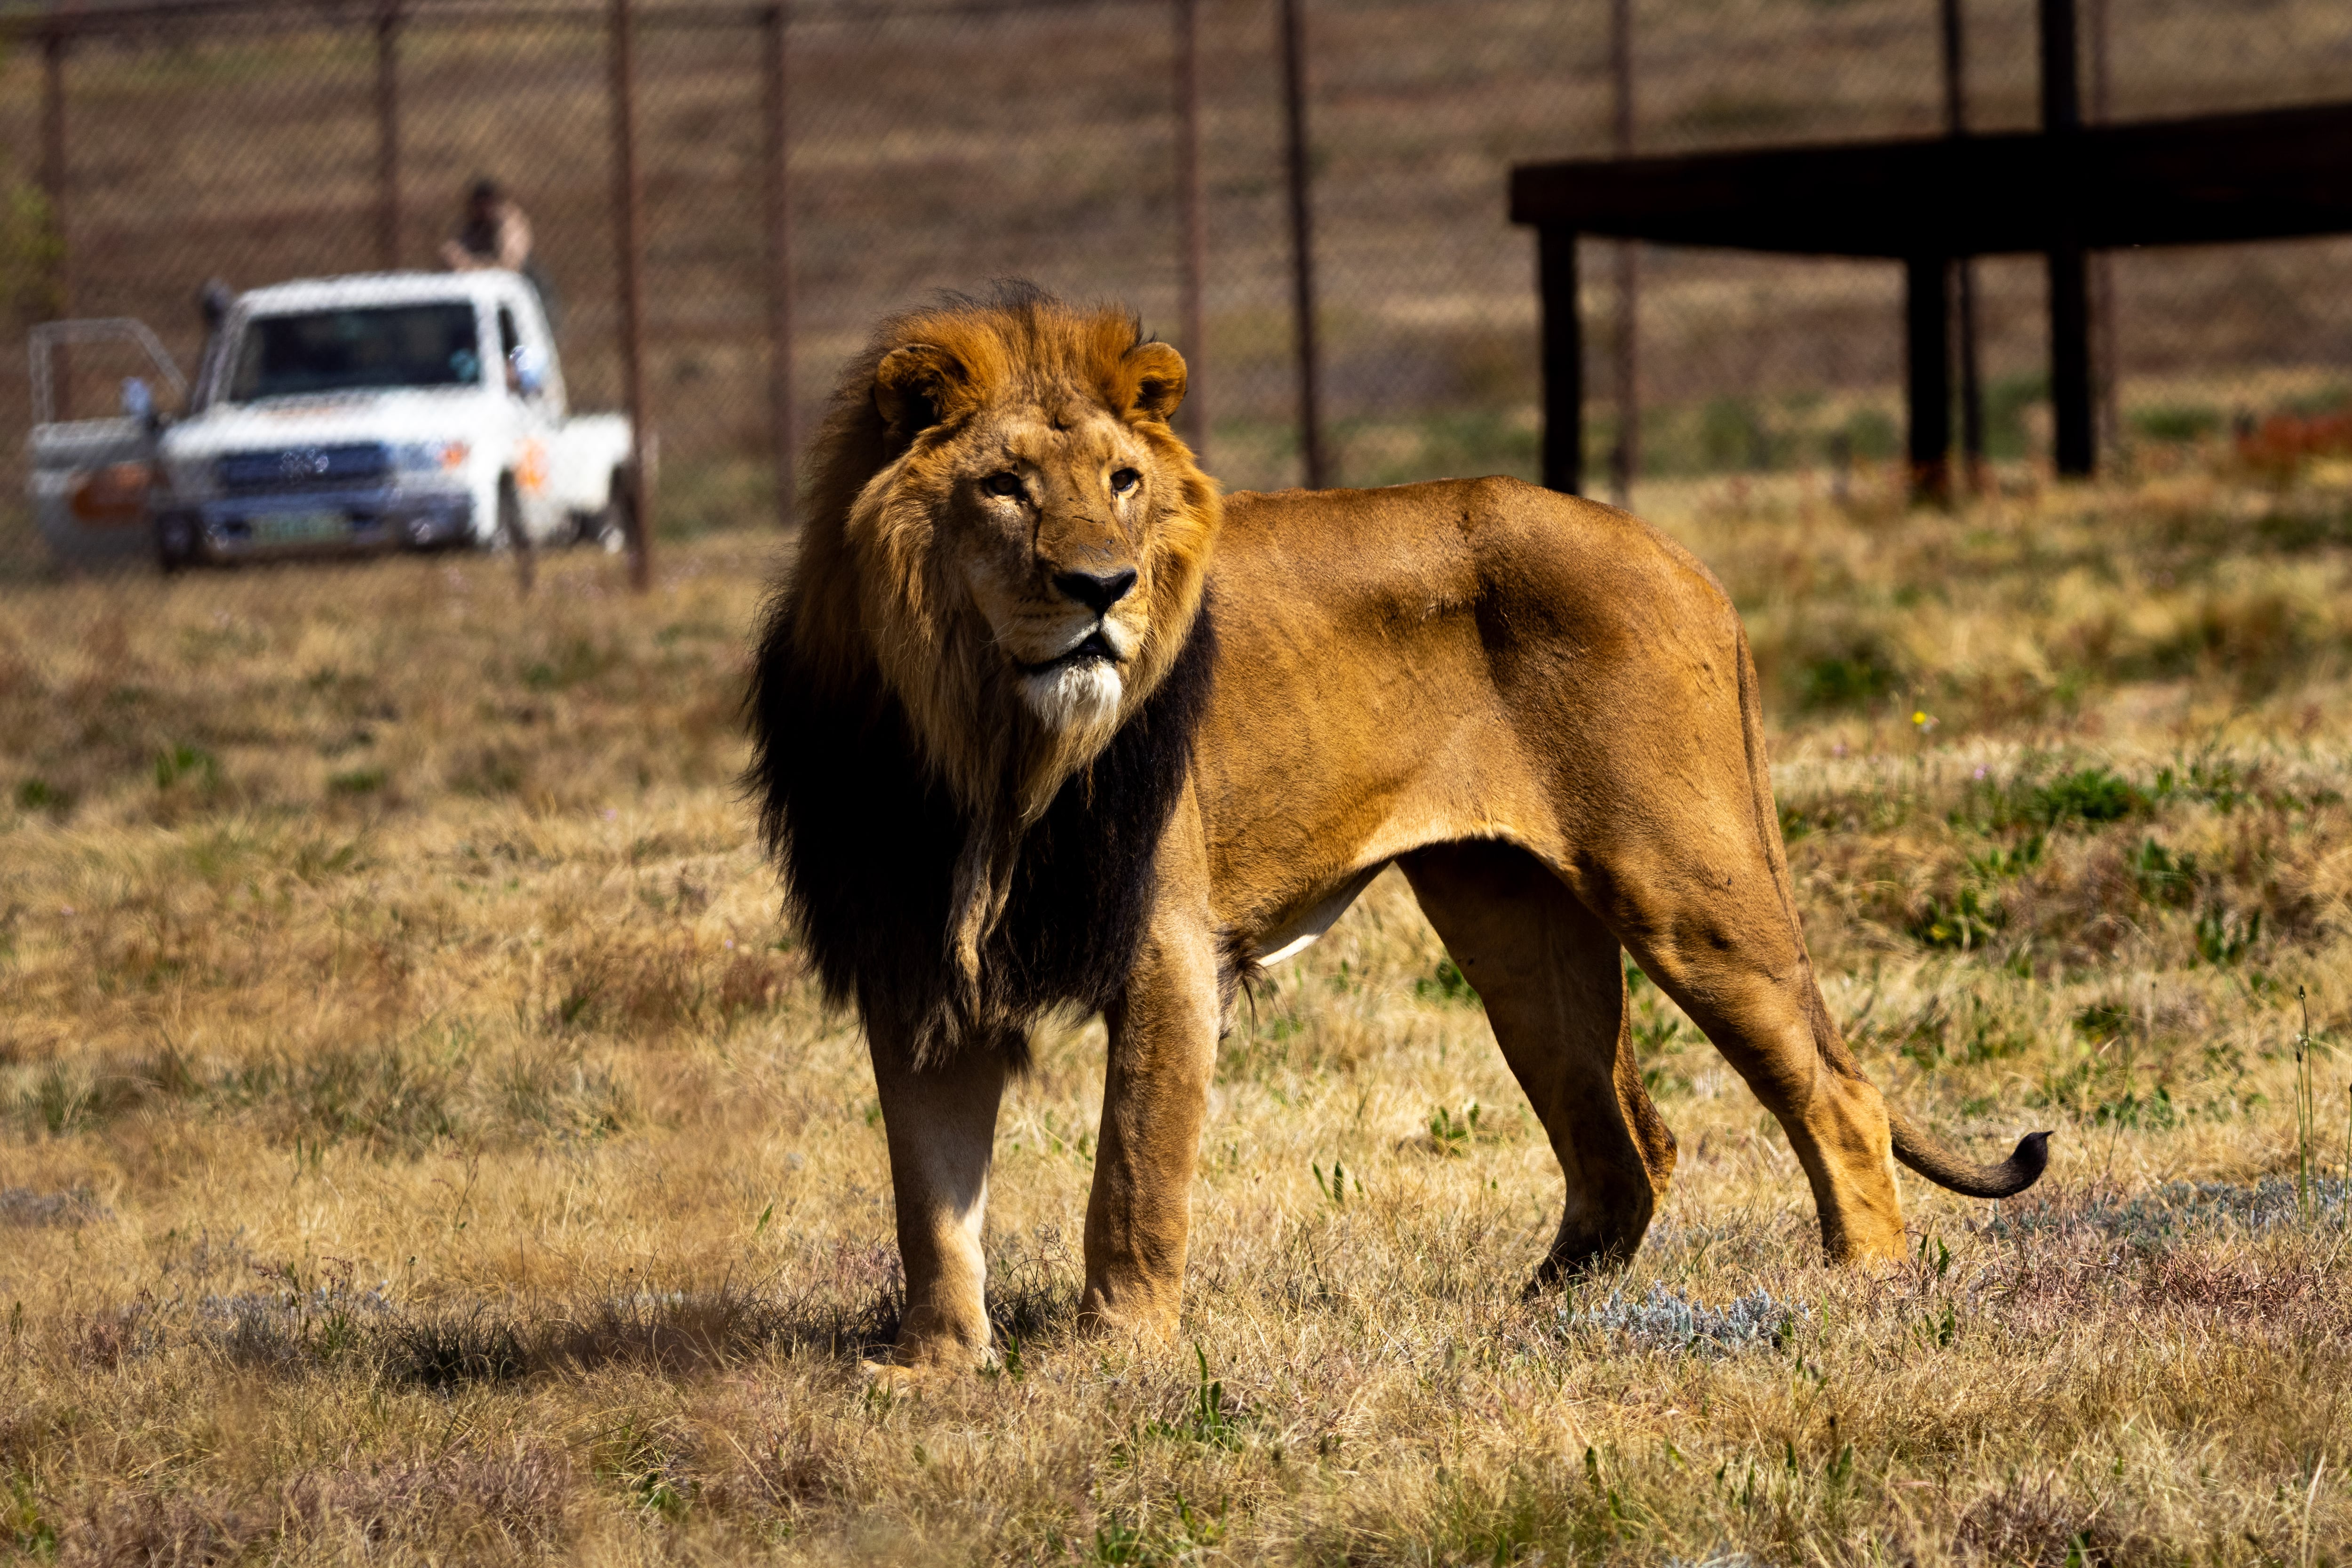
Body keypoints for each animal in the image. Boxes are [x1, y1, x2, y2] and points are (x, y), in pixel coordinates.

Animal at [748, 284, 2049, 1371]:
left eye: (1122, 481)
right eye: (1004, 486)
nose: (1103, 590)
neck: (982, 736)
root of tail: (1678, 557)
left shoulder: (1165, 945)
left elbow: (1132, 1173)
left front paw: (1112, 1352)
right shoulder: (908, 955)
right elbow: (929, 1196)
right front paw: (928, 1369)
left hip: (1686, 883)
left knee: (1836, 1095)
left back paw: (1859, 1294)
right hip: (1513, 921)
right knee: (1625, 1150)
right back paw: (1539, 1321)